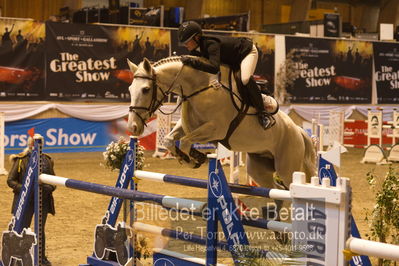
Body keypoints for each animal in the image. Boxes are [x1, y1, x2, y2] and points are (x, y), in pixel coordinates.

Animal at [126, 57, 318, 191]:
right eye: (129, 89)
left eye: (146, 89)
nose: (132, 127)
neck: (199, 89)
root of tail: (298, 131)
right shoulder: (187, 127)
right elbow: (169, 140)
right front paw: (195, 157)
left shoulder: (215, 129)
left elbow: (186, 142)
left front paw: (191, 159)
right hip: (260, 168)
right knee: (276, 190)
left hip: (287, 168)